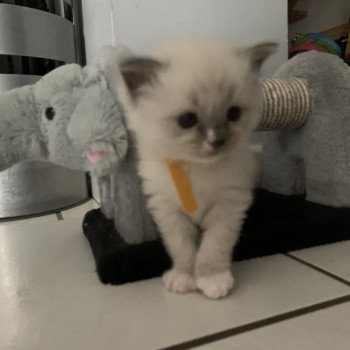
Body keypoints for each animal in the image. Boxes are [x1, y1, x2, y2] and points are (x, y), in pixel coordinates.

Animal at [119, 40, 278, 298]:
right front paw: (184, 277)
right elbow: (182, 248)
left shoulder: (228, 206)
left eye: (233, 113)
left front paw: (212, 279)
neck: (196, 169)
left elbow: (214, 247)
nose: (218, 140)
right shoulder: (169, 211)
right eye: (187, 120)